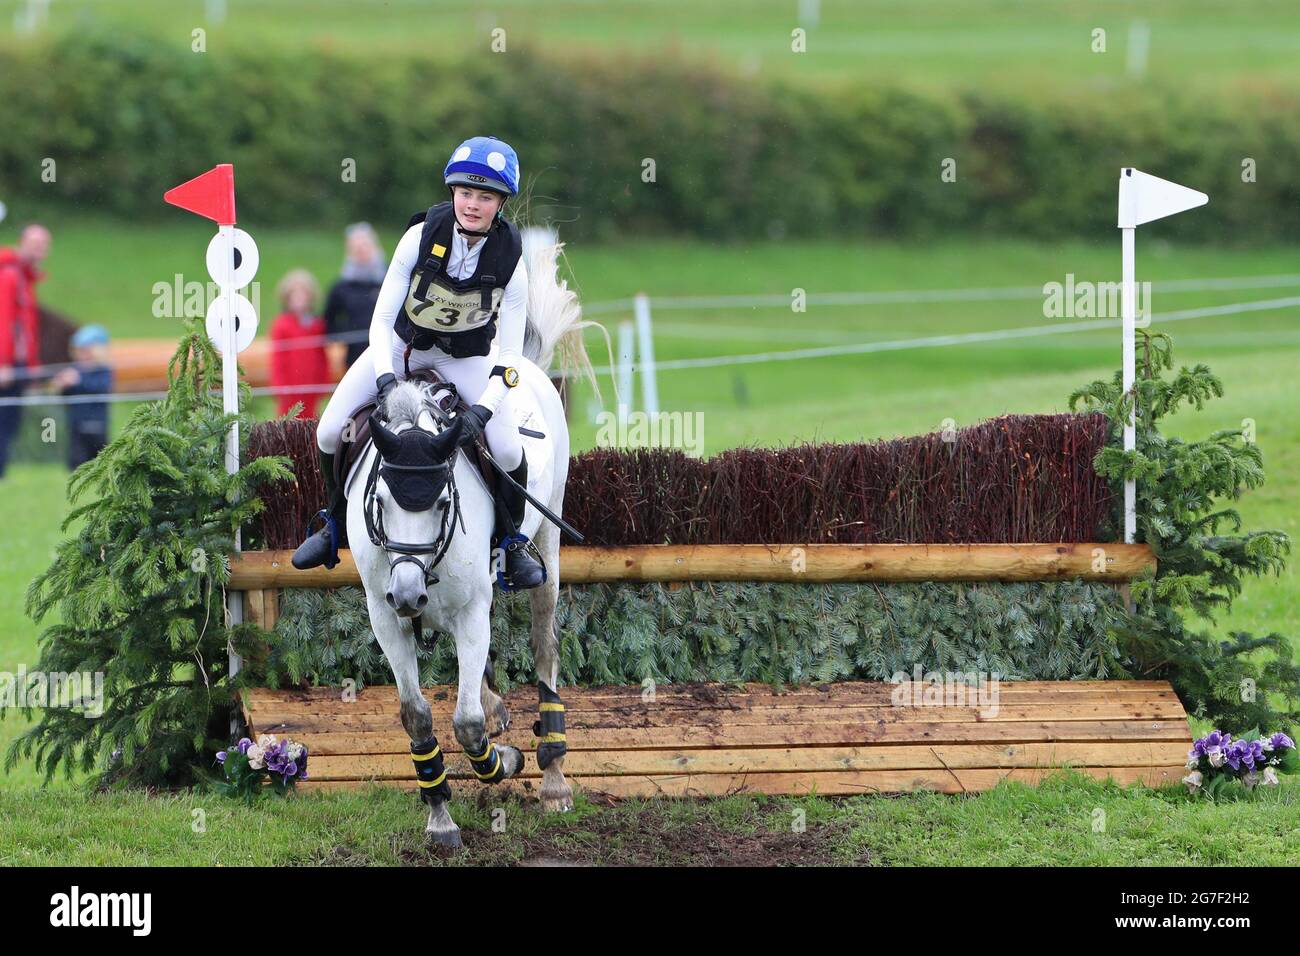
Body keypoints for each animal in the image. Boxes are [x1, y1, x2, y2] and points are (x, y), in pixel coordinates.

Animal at [340, 243, 595, 848]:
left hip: (548, 545)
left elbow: (468, 723)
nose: (408, 593)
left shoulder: (472, 607)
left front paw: (503, 762)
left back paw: (553, 779)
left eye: (439, 503)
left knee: (544, 646)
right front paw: (439, 817)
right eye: (379, 498)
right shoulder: (385, 617)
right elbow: (418, 716)